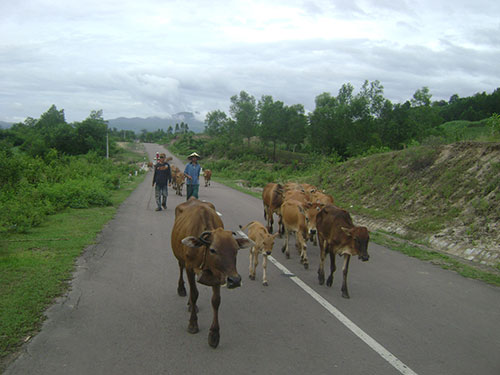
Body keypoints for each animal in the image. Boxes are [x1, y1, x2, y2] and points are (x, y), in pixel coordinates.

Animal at [172, 200, 254, 350]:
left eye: (236, 250)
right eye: (213, 250)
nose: (235, 280)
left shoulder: (219, 275)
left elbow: (216, 301)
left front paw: (214, 334)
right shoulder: (190, 268)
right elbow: (194, 294)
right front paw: (193, 324)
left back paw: (191, 305)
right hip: (180, 259)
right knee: (181, 269)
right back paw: (182, 289)